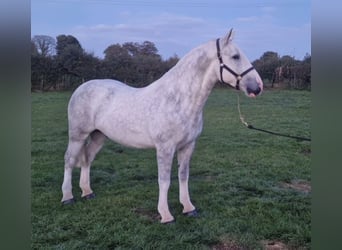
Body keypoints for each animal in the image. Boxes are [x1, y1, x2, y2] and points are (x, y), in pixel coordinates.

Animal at [61, 28, 264, 223]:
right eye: (235, 56)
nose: (258, 87)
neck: (179, 100)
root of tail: (82, 87)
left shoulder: (188, 146)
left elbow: (183, 176)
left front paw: (188, 208)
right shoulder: (165, 148)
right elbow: (164, 181)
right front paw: (166, 215)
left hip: (98, 136)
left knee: (87, 159)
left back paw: (87, 192)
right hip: (77, 135)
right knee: (69, 160)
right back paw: (67, 196)